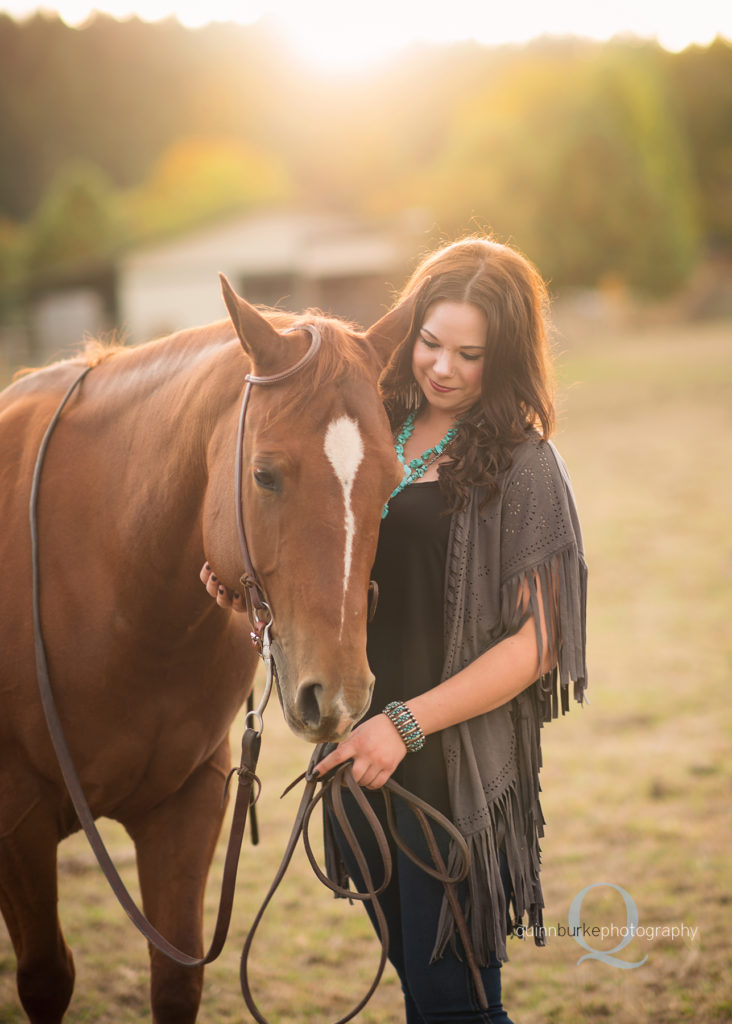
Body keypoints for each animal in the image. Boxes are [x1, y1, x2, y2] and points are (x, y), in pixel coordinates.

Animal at [0, 276, 407, 1019]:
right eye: (265, 475)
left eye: (392, 481)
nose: (336, 695)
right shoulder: (17, 822)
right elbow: (46, 977)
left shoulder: (187, 806)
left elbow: (175, 977)